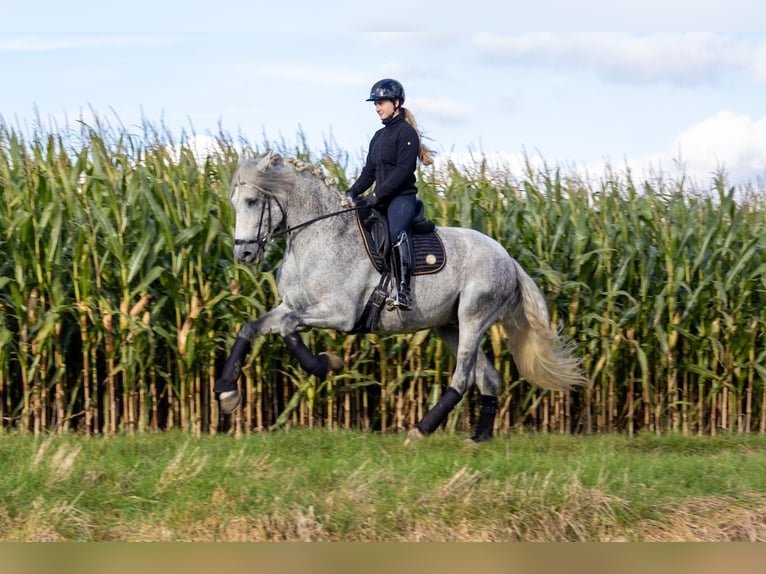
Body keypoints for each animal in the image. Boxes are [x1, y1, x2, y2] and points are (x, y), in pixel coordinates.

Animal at [216, 151, 588, 444]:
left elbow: (289, 329)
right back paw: (479, 437)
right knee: (488, 377)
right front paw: (227, 392)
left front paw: (325, 363)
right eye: (233, 203)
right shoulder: (290, 307)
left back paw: (420, 430)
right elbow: (252, 328)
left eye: (251, 201)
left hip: (473, 318)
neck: (317, 235)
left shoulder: (340, 314)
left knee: (463, 377)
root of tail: (507, 258)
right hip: (449, 326)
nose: (243, 254)